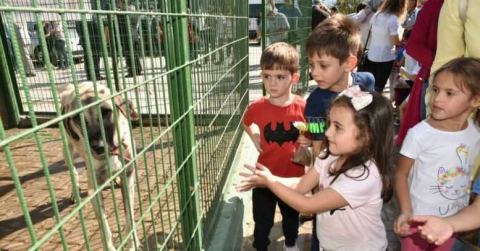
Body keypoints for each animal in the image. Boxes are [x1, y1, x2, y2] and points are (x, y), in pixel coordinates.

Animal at [58, 82, 140, 249]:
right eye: (77, 118)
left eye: (106, 111)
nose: (98, 147)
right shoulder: (94, 189)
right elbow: (104, 227)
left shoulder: (128, 176)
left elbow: (129, 216)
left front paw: (133, 242)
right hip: (67, 149)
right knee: (74, 171)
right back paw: (75, 192)